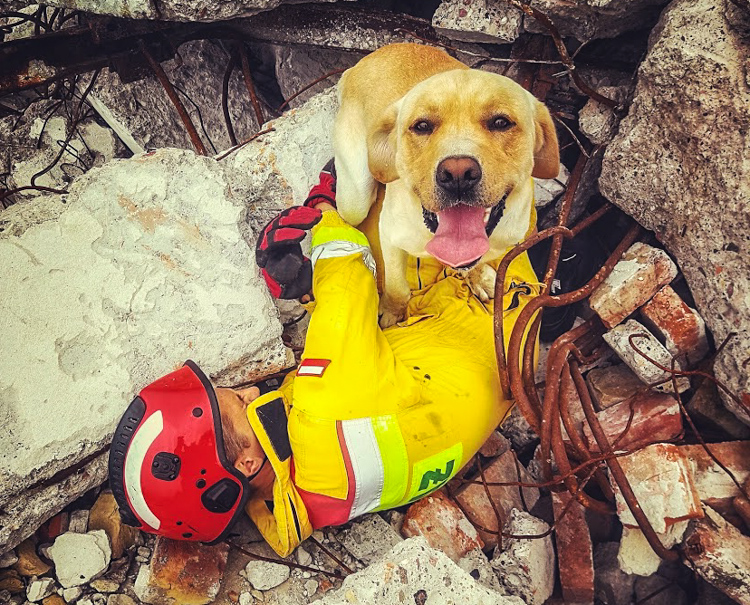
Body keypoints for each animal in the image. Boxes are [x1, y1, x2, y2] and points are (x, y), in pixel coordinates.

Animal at [334, 42, 560, 326]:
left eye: (501, 122)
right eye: (421, 126)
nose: (458, 174)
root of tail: (364, 61)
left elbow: (477, 261)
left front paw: (478, 277)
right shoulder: (390, 238)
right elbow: (397, 287)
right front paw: (392, 311)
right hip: (355, 200)